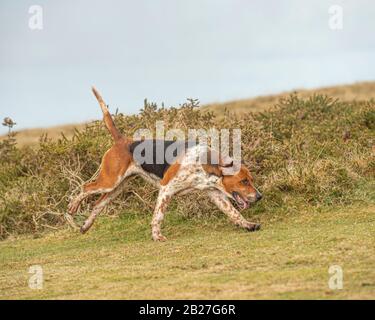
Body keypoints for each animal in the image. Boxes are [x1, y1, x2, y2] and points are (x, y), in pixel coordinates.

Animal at [70, 87, 264, 240]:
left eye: (251, 180)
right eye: (243, 181)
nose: (259, 196)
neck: (204, 165)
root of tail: (122, 140)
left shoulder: (215, 194)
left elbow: (234, 213)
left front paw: (248, 225)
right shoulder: (166, 188)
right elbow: (158, 216)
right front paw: (157, 236)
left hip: (116, 188)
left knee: (97, 205)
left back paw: (86, 225)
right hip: (109, 182)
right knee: (84, 188)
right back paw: (71, 210)